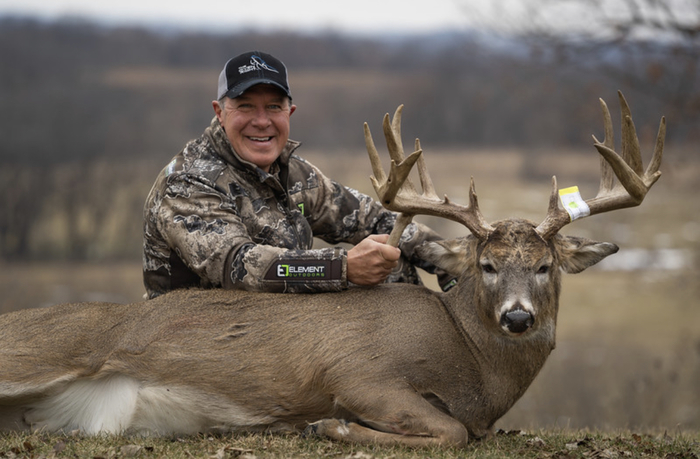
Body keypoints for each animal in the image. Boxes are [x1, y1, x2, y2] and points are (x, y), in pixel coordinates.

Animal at [0, 92, 664, 447]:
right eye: (488, 264)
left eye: (547, 266)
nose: (519, 318)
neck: (470, 366)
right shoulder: (359, 373)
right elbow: (447, 433)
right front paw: (329, 428)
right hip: (33, 351)